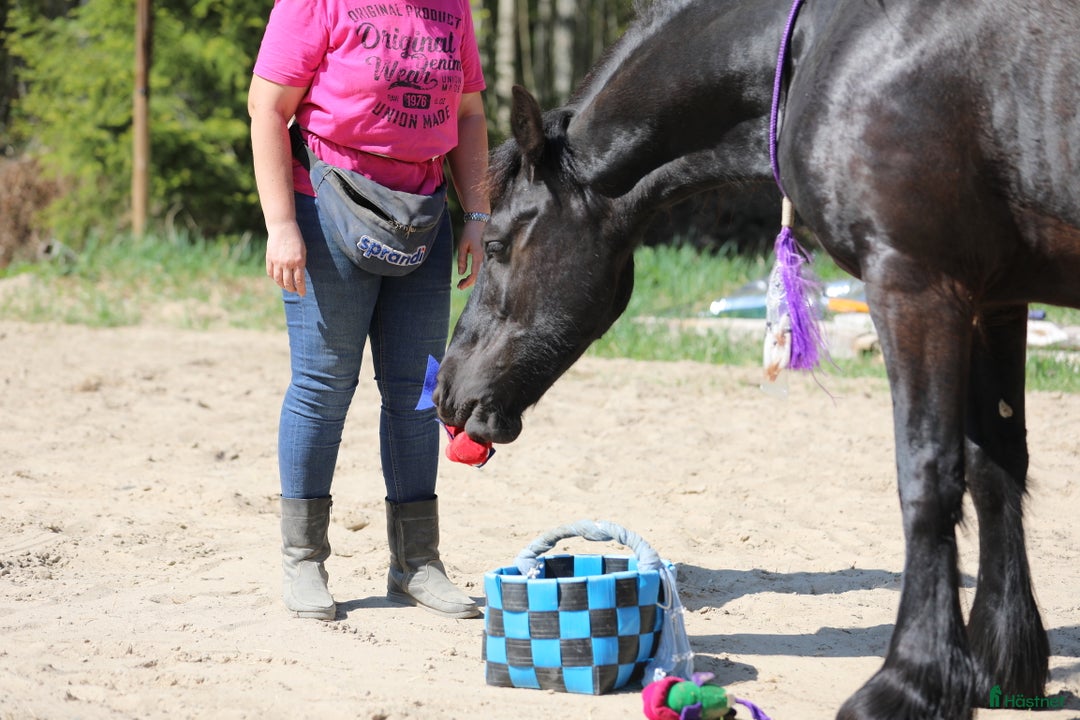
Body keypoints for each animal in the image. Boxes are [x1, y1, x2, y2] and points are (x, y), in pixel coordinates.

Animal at [433, 0, 1080, 717]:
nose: (448, 392)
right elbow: (997, 467)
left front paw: (910, 680)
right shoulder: (996, 297)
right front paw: (1007, 661)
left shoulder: (916, 284)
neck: (831, 49)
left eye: (494, 245)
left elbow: (928, 475)